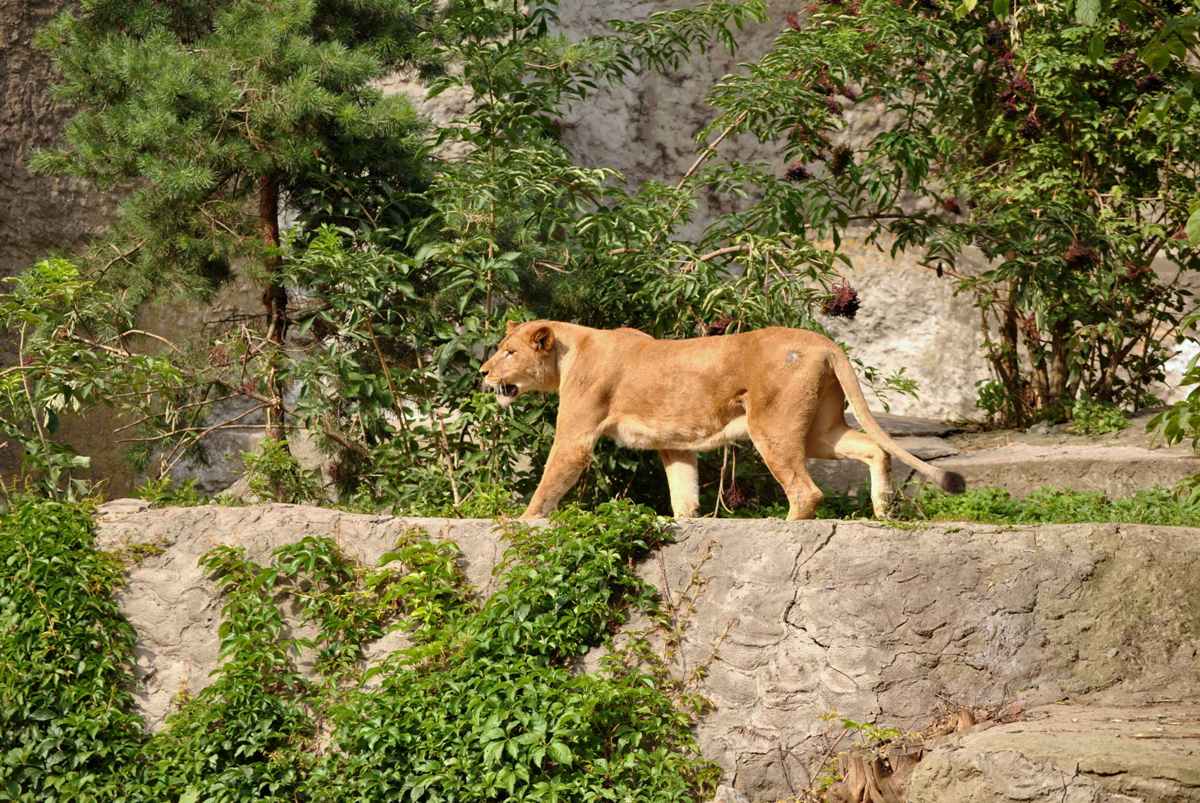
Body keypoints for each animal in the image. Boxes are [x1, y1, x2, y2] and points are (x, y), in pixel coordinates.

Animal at [481, 320, 965, 520]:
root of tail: (825, 343)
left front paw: (525, 519)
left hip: (772, 426)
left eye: (509, 352)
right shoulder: (674, 443)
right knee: (876, 449)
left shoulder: (577, 434)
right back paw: (884, 512)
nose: (483, 371)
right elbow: (683, 494)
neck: (569, 352)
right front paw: (685, 522)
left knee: (806, 492)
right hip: (820, 431)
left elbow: (550, 482)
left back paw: (788, 526)